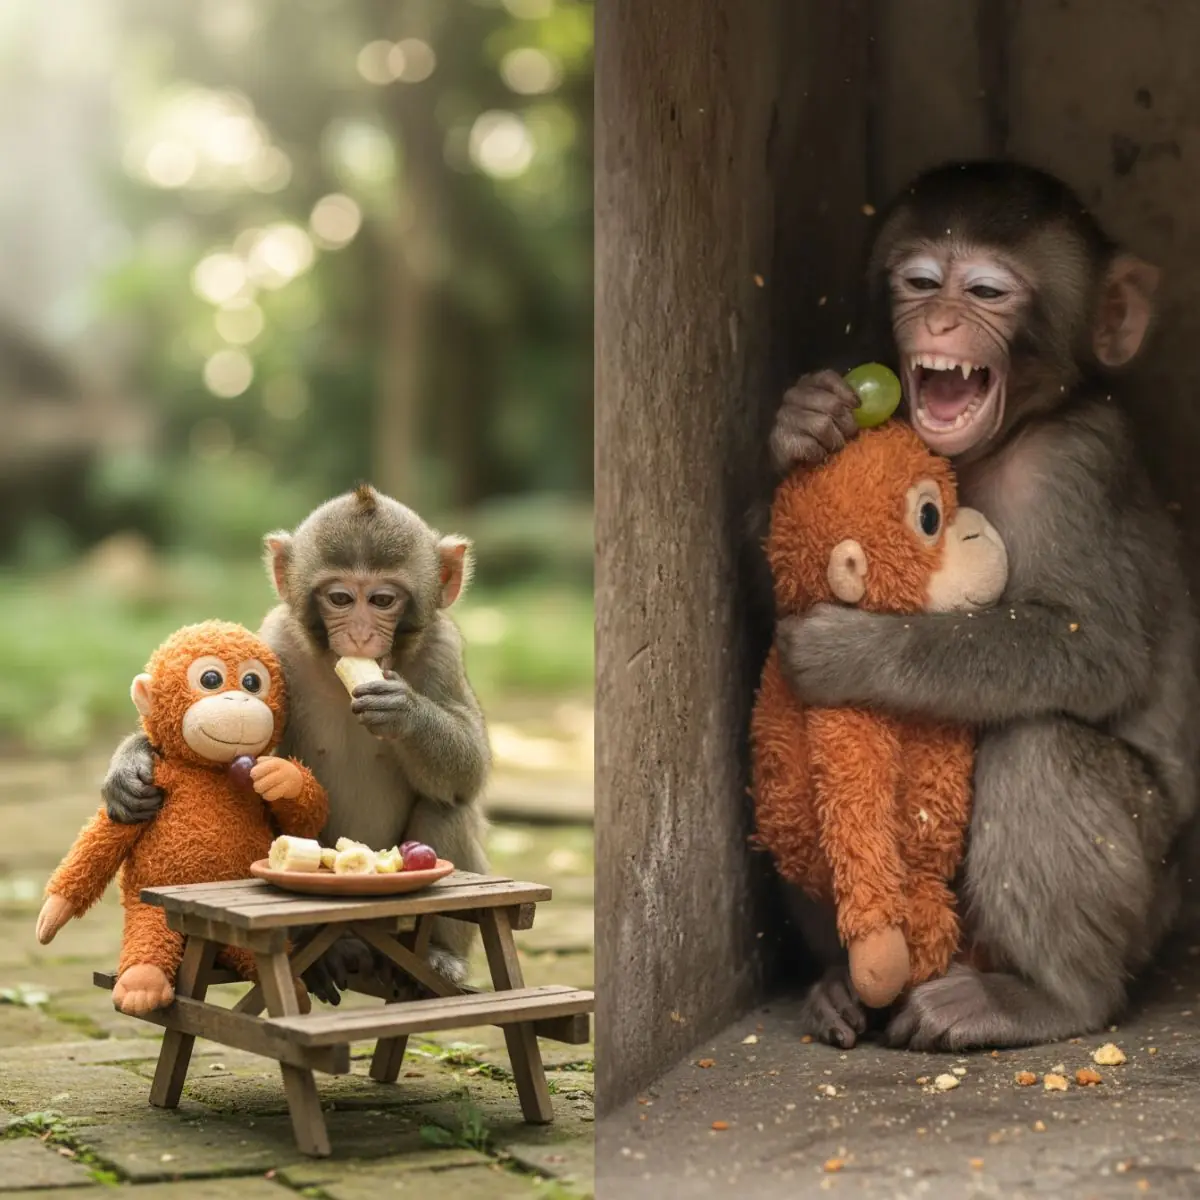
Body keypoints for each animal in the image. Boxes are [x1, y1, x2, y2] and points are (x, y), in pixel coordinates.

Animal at [99, 484, 491, 1002]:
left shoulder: (443, 647)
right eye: (340, 597)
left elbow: (471, 770)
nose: (361, 634)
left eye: (383, 599)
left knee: (447, 804)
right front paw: (131, 765)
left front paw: (404, 711)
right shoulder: (277, 641)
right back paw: (324, 955)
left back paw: (435, 956)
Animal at [766, 160, 1200, 1052]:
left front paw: (852, 653)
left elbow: (1092, 647)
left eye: (988, 292)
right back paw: (843, 986)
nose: (938, 319)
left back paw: (1049, 999)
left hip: (1152, 893)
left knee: (1038, 744)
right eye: (921, 281)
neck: (1008, 436)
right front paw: (802, 422)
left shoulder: (1077, 465)